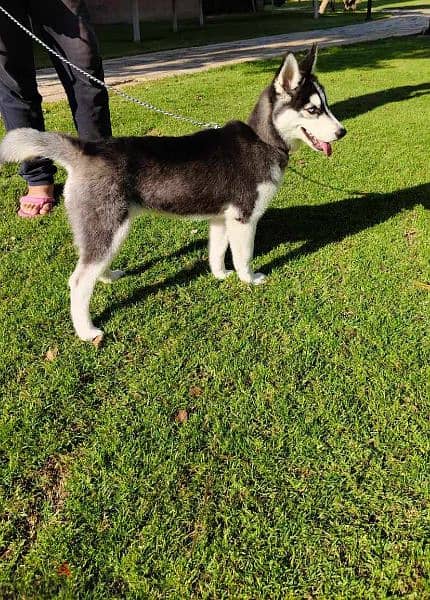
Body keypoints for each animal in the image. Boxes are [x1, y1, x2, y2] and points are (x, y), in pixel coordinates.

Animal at [0, 45, 342, 342]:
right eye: (312, 110)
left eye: (326, 106)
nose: (342, 132)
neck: (262, 140)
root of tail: (87, 149)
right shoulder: (244, 219)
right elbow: (243, 256)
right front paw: (249, 279)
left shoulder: (222, 219)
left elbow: (217, 252)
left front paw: (220, 275)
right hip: (110, 225)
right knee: (78, 280)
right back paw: (86, 331)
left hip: (105, 229)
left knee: (92, 262)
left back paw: (107, 276)